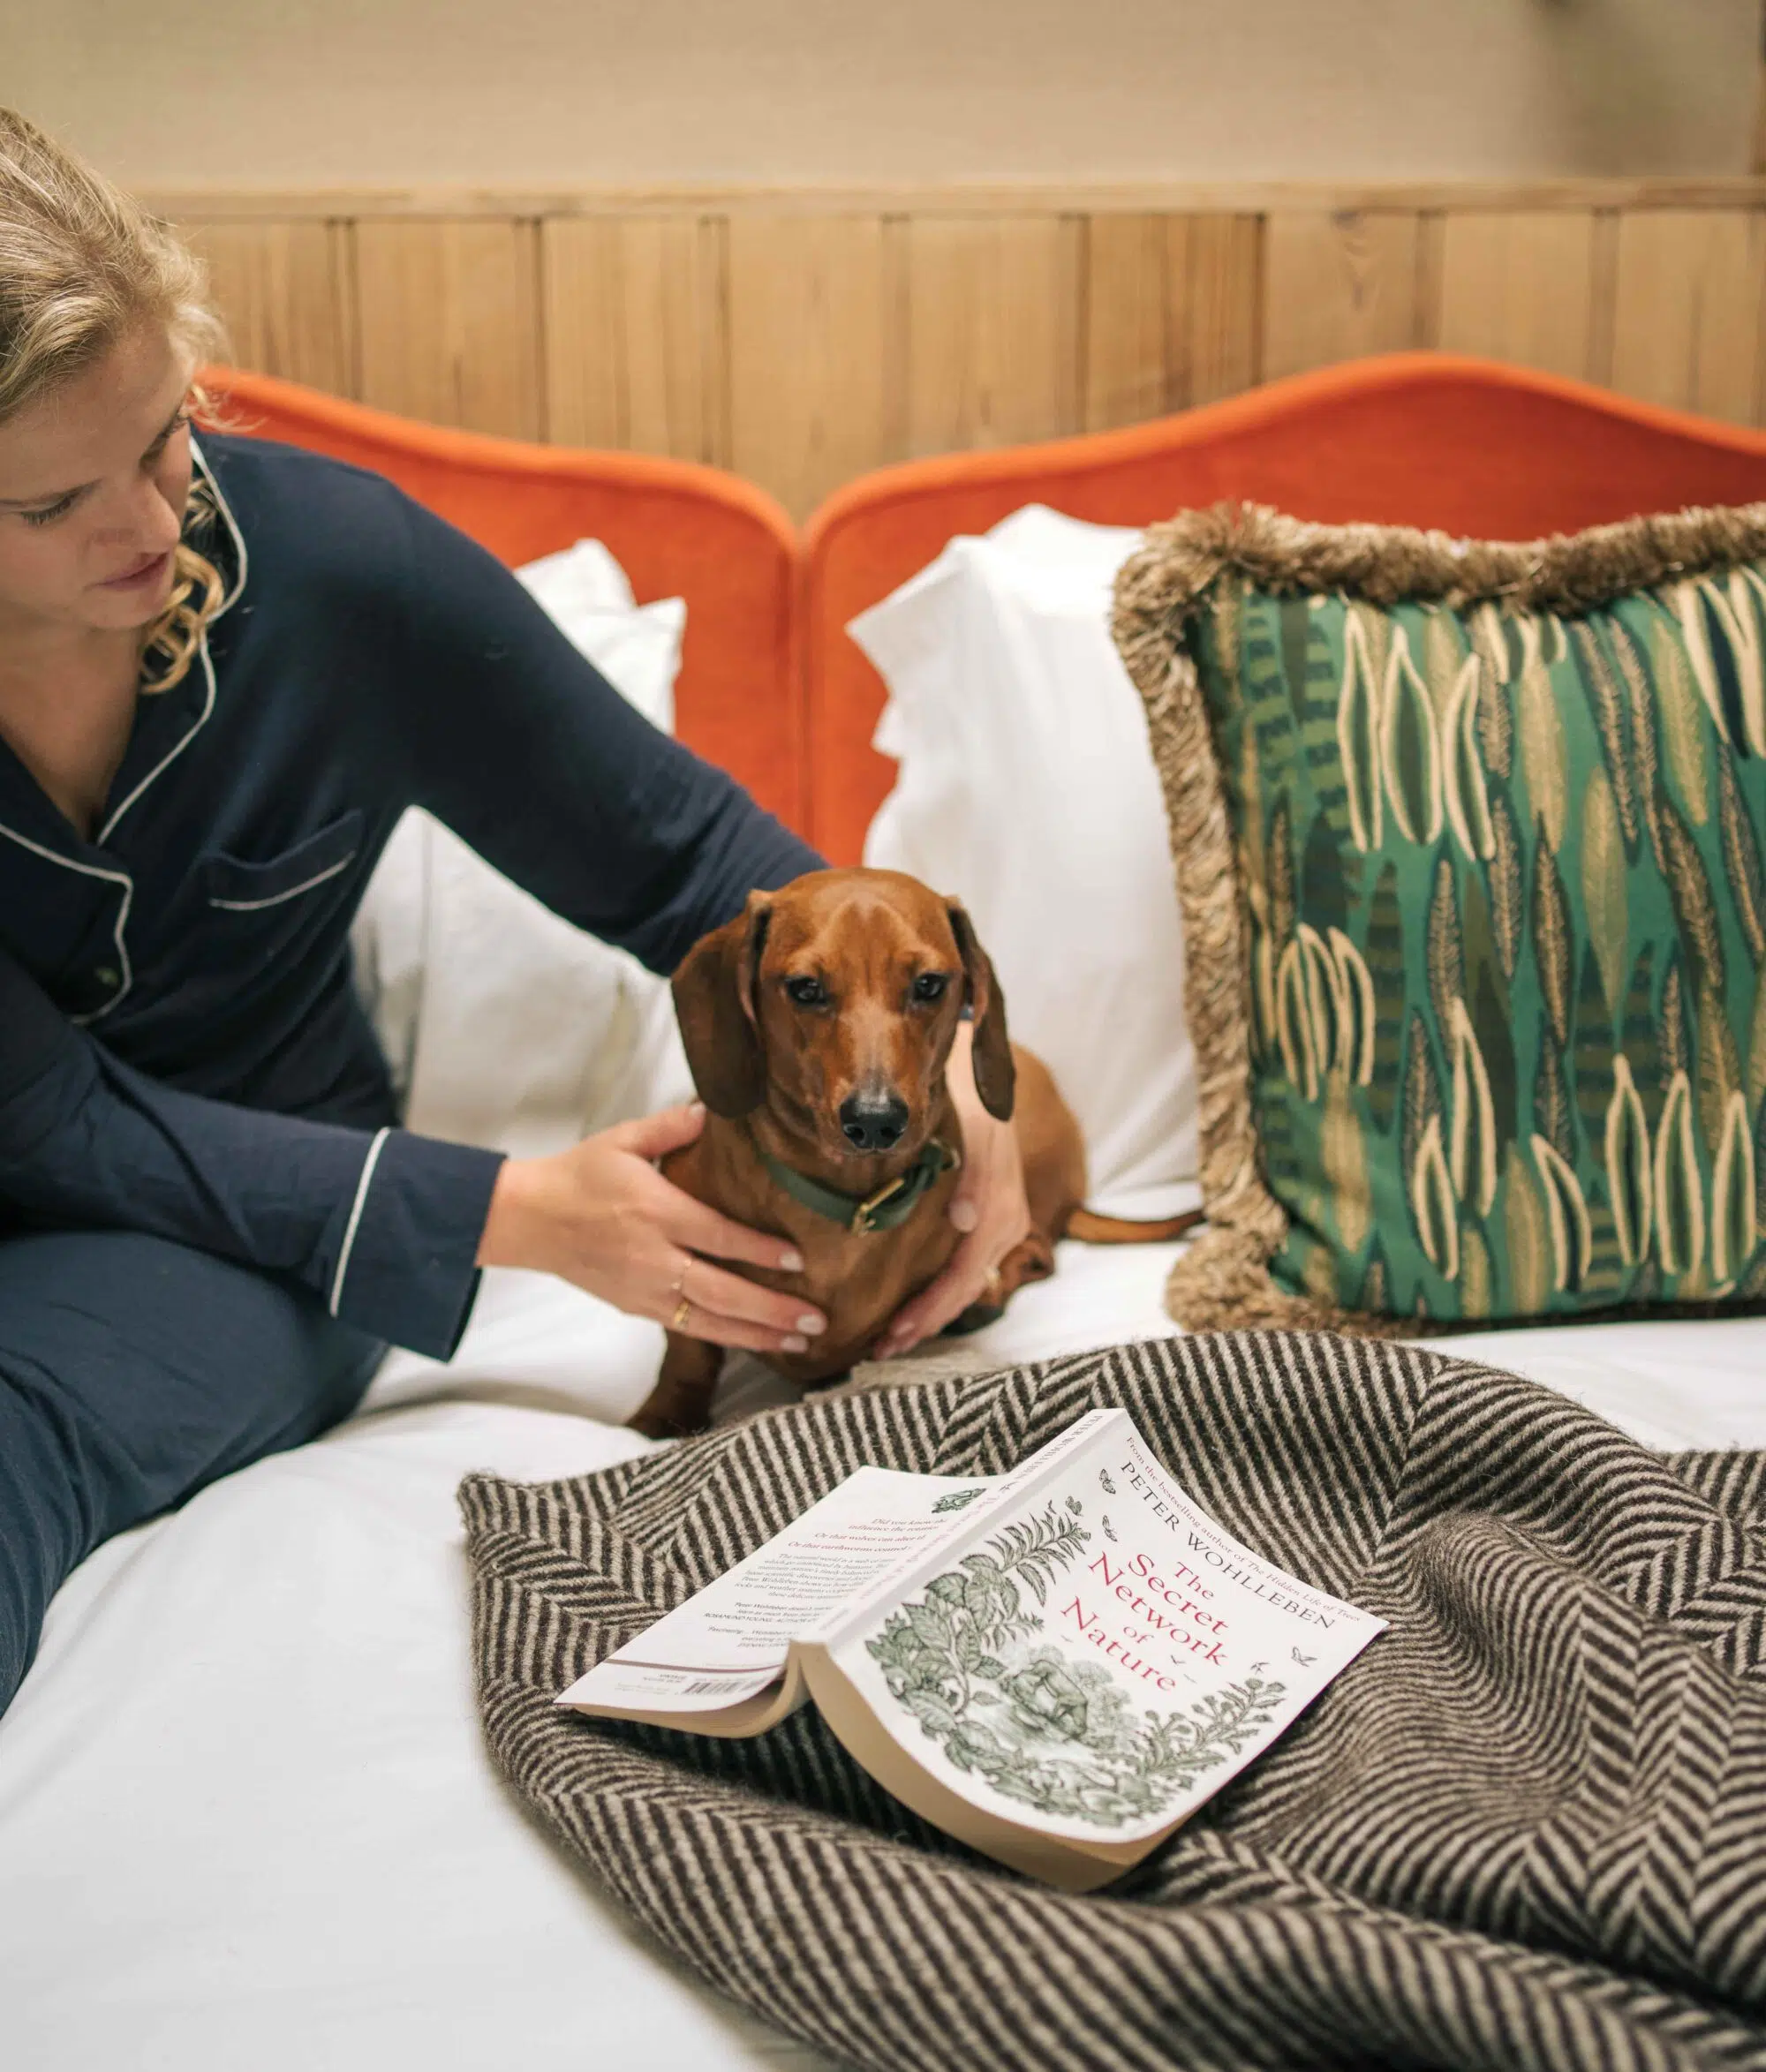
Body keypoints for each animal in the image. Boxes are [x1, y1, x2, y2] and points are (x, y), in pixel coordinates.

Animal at [628, 868, 1087, 1437]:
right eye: (806, 989)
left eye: (928, 985)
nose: (874, 1121)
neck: (848, 1204)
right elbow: (689, 1350)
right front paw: (666, 1413)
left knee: (1040, 1249)